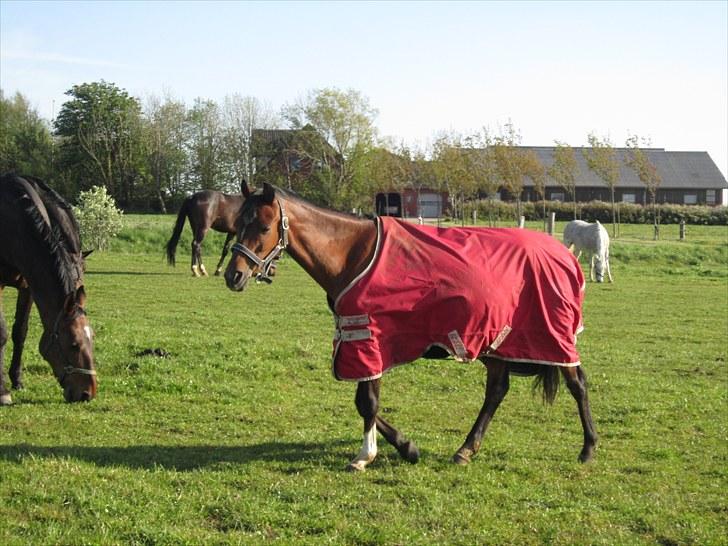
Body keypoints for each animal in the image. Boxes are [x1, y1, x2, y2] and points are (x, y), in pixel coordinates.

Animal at [0, 174, 96, 404]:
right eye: (73, 344)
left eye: (92, 338)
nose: (87, 393)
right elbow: (2, 332)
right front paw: (3, 390)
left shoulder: (29, 285)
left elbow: (20, 332)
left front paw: (17, 379)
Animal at [223, 182, 596, 468]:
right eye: (237, 223)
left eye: (263, 227)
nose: (233, 275)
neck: (352, 253)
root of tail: (563, 254)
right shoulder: (357, 336)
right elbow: (364, 400)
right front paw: (406, 446)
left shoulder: (367, 337)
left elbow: (367, 402)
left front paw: (366, 455)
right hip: (497, 339)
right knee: (496, 391)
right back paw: (466, 449)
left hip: (553, 337)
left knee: (577, 384)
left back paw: (588, 448)